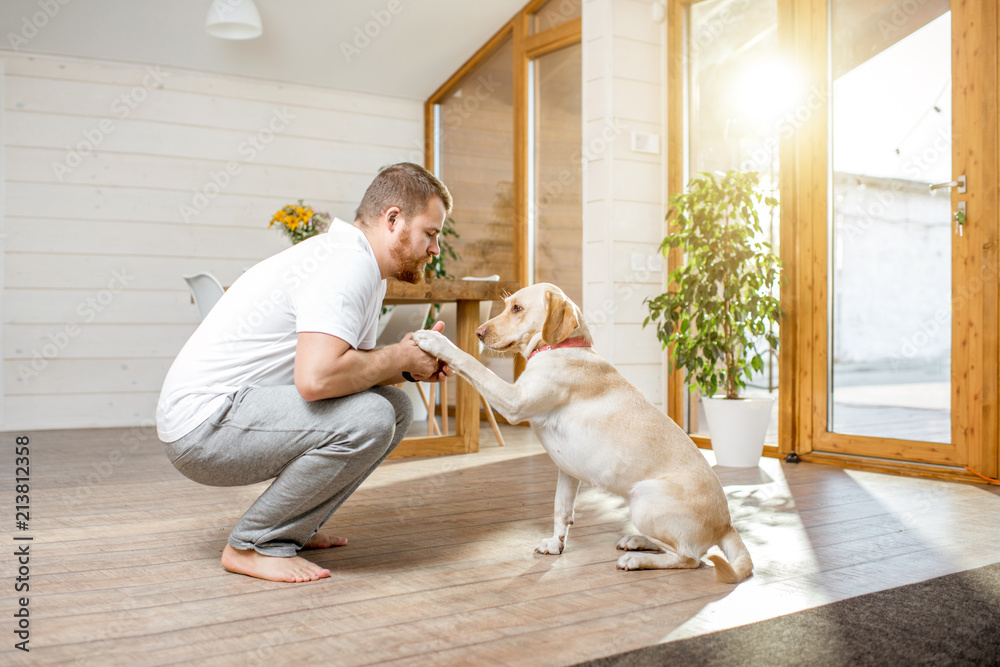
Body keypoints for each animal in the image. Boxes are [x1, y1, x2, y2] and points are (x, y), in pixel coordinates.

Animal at [412, 282, 752, 584]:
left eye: (517, 308)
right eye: (507, 305)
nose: (479, 333)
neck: (561, 347)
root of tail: (727, 524)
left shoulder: (513, 401)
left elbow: (472, 364)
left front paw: (436, 341)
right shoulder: (567, 469)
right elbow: (561, 509)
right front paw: (556, 543)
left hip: (643, 499)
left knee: (690, 558)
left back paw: (637, 559)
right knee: (675, 547)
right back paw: (637, 542)